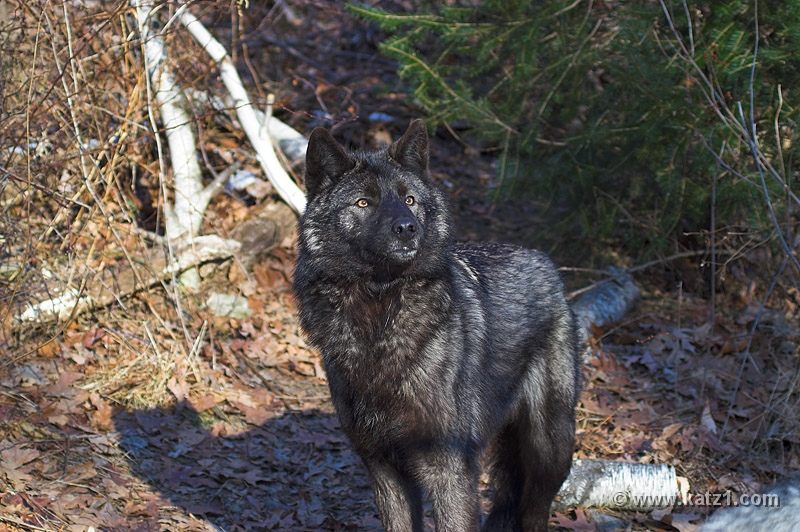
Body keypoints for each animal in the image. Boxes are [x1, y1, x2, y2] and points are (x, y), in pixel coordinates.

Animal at [293, 119, 581, 532]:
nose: (407, 228)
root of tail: (545, 262)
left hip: (549, 451)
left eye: (410, 199)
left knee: (534, 509)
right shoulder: (384, 469)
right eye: (363, 202)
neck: (379, 321)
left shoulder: (449, 469)